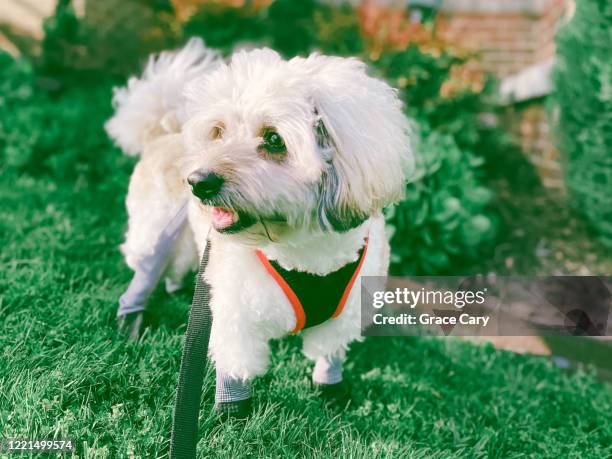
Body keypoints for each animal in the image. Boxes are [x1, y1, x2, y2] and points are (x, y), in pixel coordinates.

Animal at [107, 38, 414, 416]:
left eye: (274, 139)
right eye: (218, 132)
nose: (197, 181)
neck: (304, 253)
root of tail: (164, 134)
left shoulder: (342, 315)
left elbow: (328, 355)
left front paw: (331, 391)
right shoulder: (235, 316)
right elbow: (236, 366)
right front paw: (232, 414)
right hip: (155, 232)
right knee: (145, 273)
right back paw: (130, 320)